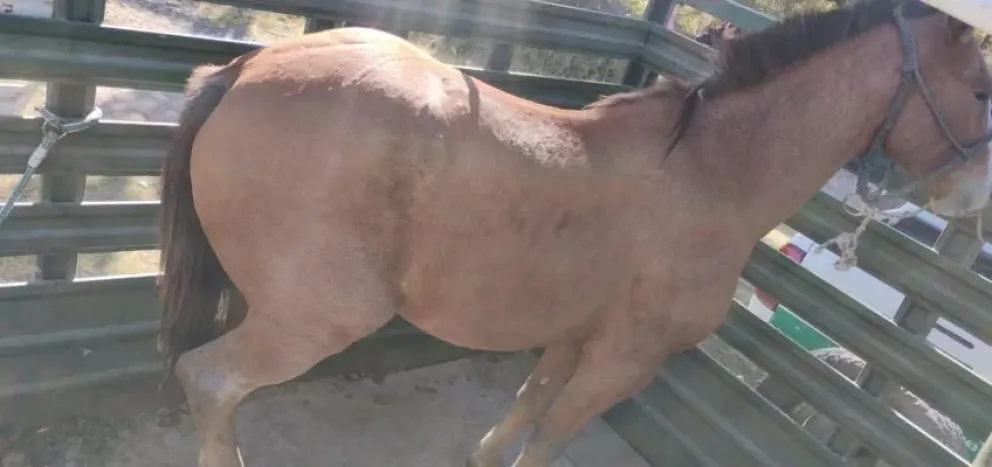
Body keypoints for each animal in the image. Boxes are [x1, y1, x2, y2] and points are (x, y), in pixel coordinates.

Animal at [156, 0, 992, 465]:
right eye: (982, 88)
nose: (974, 196)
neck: (711, 174)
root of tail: (242, 73)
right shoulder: (625, 357)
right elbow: (553, 432)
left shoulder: (572, 334)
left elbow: (527, 404)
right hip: (319, 315)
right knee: (211, 380)